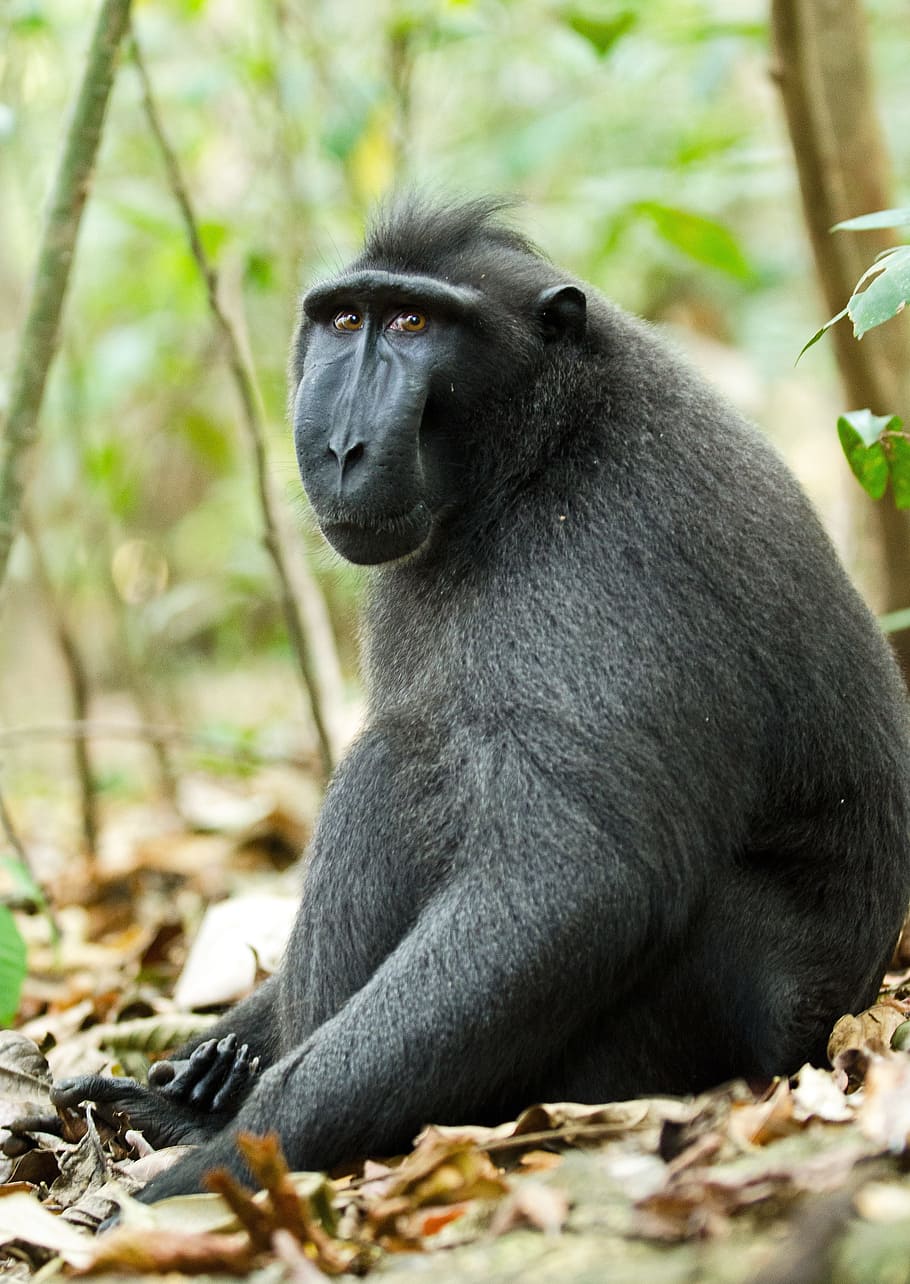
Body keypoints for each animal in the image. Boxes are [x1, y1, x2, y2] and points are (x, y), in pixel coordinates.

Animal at [51, 196, 910, 1203]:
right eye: (347, 319)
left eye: (413, 324)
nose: (340, 445)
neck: (539, 451)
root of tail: (826, 1021)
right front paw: (200, 1080)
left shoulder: (603, 552)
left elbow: (578, 882)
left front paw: (217, 1166)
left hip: (671, 1032)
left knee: (399, 763)